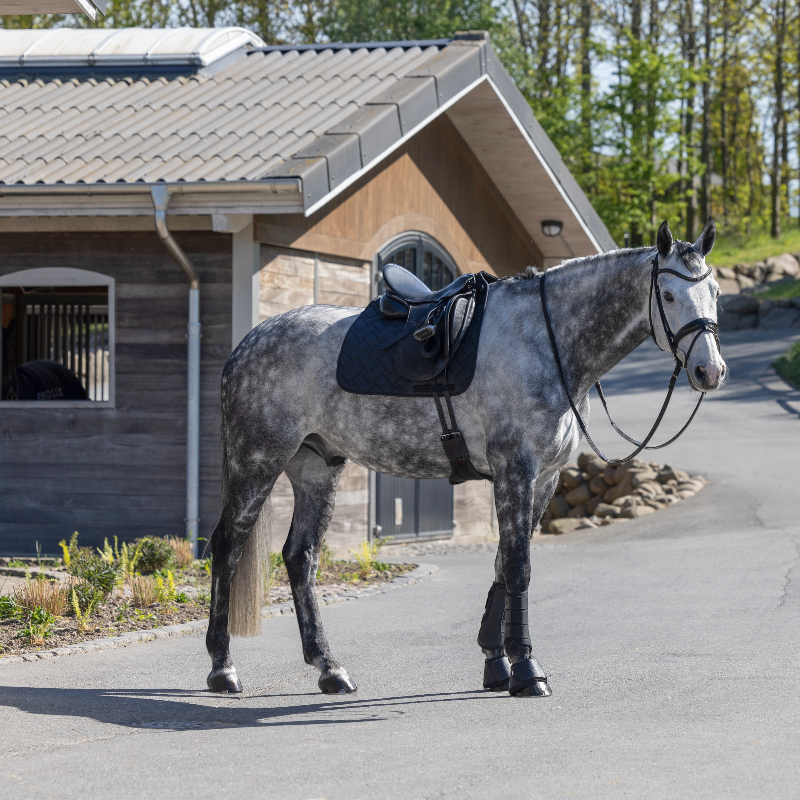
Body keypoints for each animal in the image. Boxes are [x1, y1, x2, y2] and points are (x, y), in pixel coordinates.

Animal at [205, 218, 726, 697]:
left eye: (716, 292)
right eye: (669, 294)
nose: (711, 371)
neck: (547, 341)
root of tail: (249, 343)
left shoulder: (544, 479)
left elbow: (502, 564)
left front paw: (496, 663)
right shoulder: (516, 471)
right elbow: (517, 567)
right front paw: (526, 670)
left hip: (317, 470)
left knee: (300, 557)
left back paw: (329, 668)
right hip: (257, 463)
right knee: (227, 548)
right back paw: (223, 669)